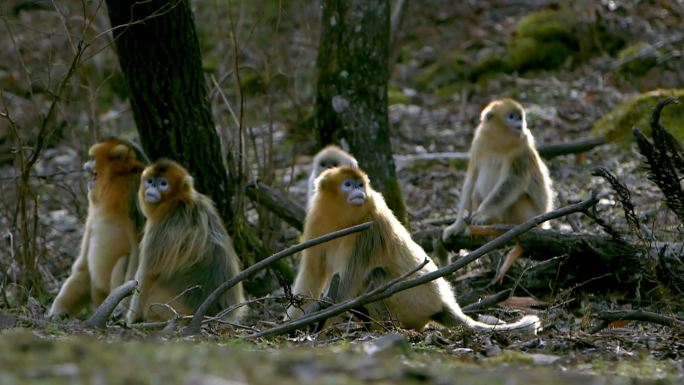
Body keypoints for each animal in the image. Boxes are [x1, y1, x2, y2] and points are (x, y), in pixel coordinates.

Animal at [48, 136, 150, 316]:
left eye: (92, 158)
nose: (85, 165)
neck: (117, 181)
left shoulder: (136, 194)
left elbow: (141, 254)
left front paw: (123, 309)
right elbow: (82, 265)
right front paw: (58, 311)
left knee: (126, 260)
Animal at [127, 158, 244, 322]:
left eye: (163, 183)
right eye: (150, 181)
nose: (152, 187)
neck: (178, 199)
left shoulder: (161, 226)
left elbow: (146, 274)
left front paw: (131, 319)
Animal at [288, 166, 540, 332]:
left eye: (360, 185)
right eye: (348, 184)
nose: (358, 191)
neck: (342, 218)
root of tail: (443, 301)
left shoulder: (369, 227)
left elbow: (345, 287)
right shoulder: (316, 222)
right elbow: (312, 273)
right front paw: (294, 321)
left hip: (416, 302)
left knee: (376, 277)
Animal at [444, 98, 552, 282]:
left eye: (520, 117)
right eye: (512, 116)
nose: (520, 123)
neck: (498, 144)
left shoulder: (521, 150)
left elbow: (512, 182)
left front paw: (482, 215)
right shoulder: (478, 144)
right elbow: (470, 181)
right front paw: (456, 226)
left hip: (529, 215)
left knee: (515, 198)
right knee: (475, 189)